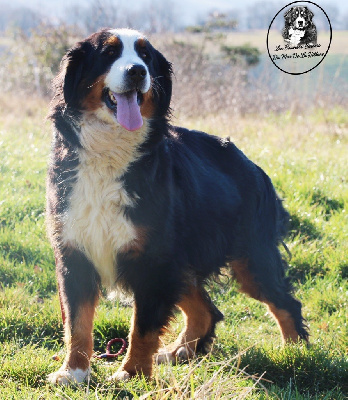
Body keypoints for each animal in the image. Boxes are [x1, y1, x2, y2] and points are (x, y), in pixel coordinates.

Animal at [45, 27, 308, 384]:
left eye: (146, 56)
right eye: (109, 53)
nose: (137, 71)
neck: (108, 155)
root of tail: (252, 165)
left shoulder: (153, 261)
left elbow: (142, 328)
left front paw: (132, 374)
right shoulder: (75, 251)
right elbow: (77, 323)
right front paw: (73, 372)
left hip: (249, 258)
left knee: (284, 302)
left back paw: (295, 354)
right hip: (183, 261)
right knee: (206, 310)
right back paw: (179, 352)